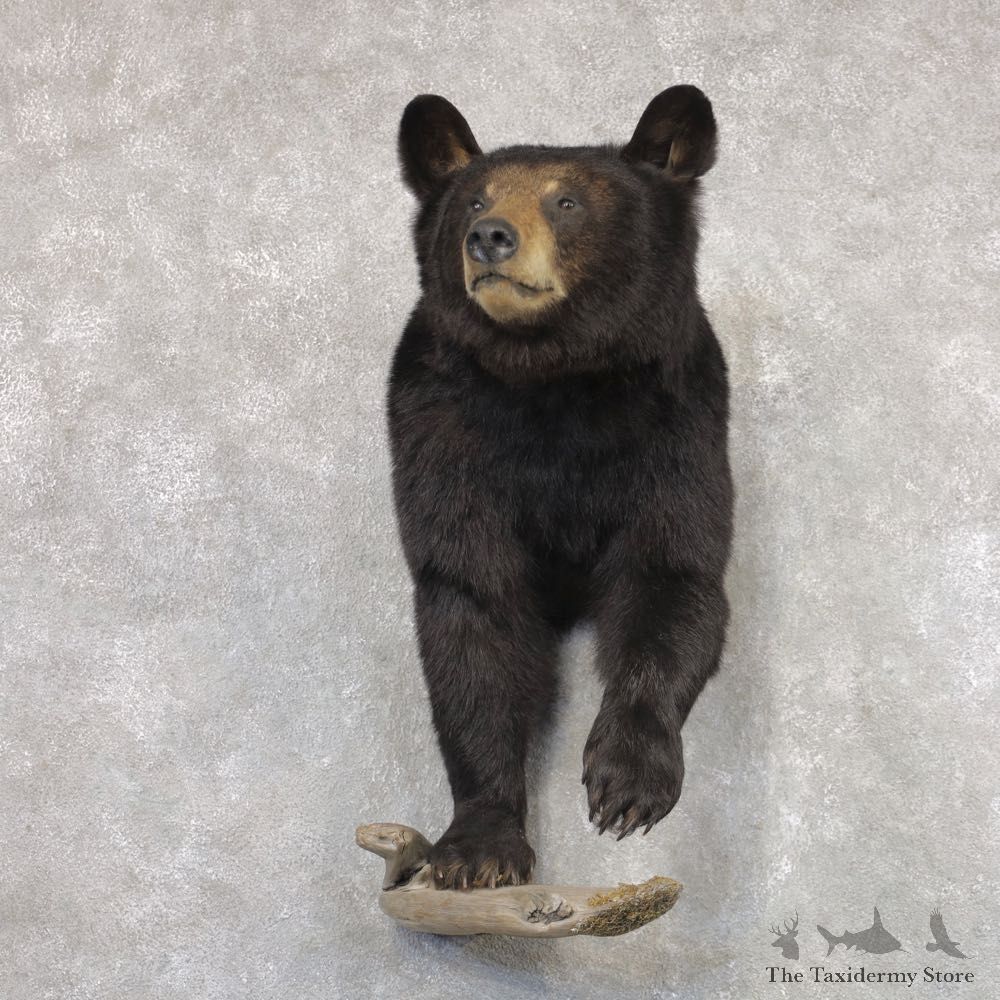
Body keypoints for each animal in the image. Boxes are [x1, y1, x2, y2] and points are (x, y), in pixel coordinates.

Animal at [387, 86, 733, 891]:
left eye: (566, 200)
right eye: (474, 196)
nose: (488, 237)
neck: (555, 380)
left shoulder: (680, 427)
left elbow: (674, 575)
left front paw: (627, 783)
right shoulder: (439, 436)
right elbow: (471, 607)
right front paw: (478, 846)